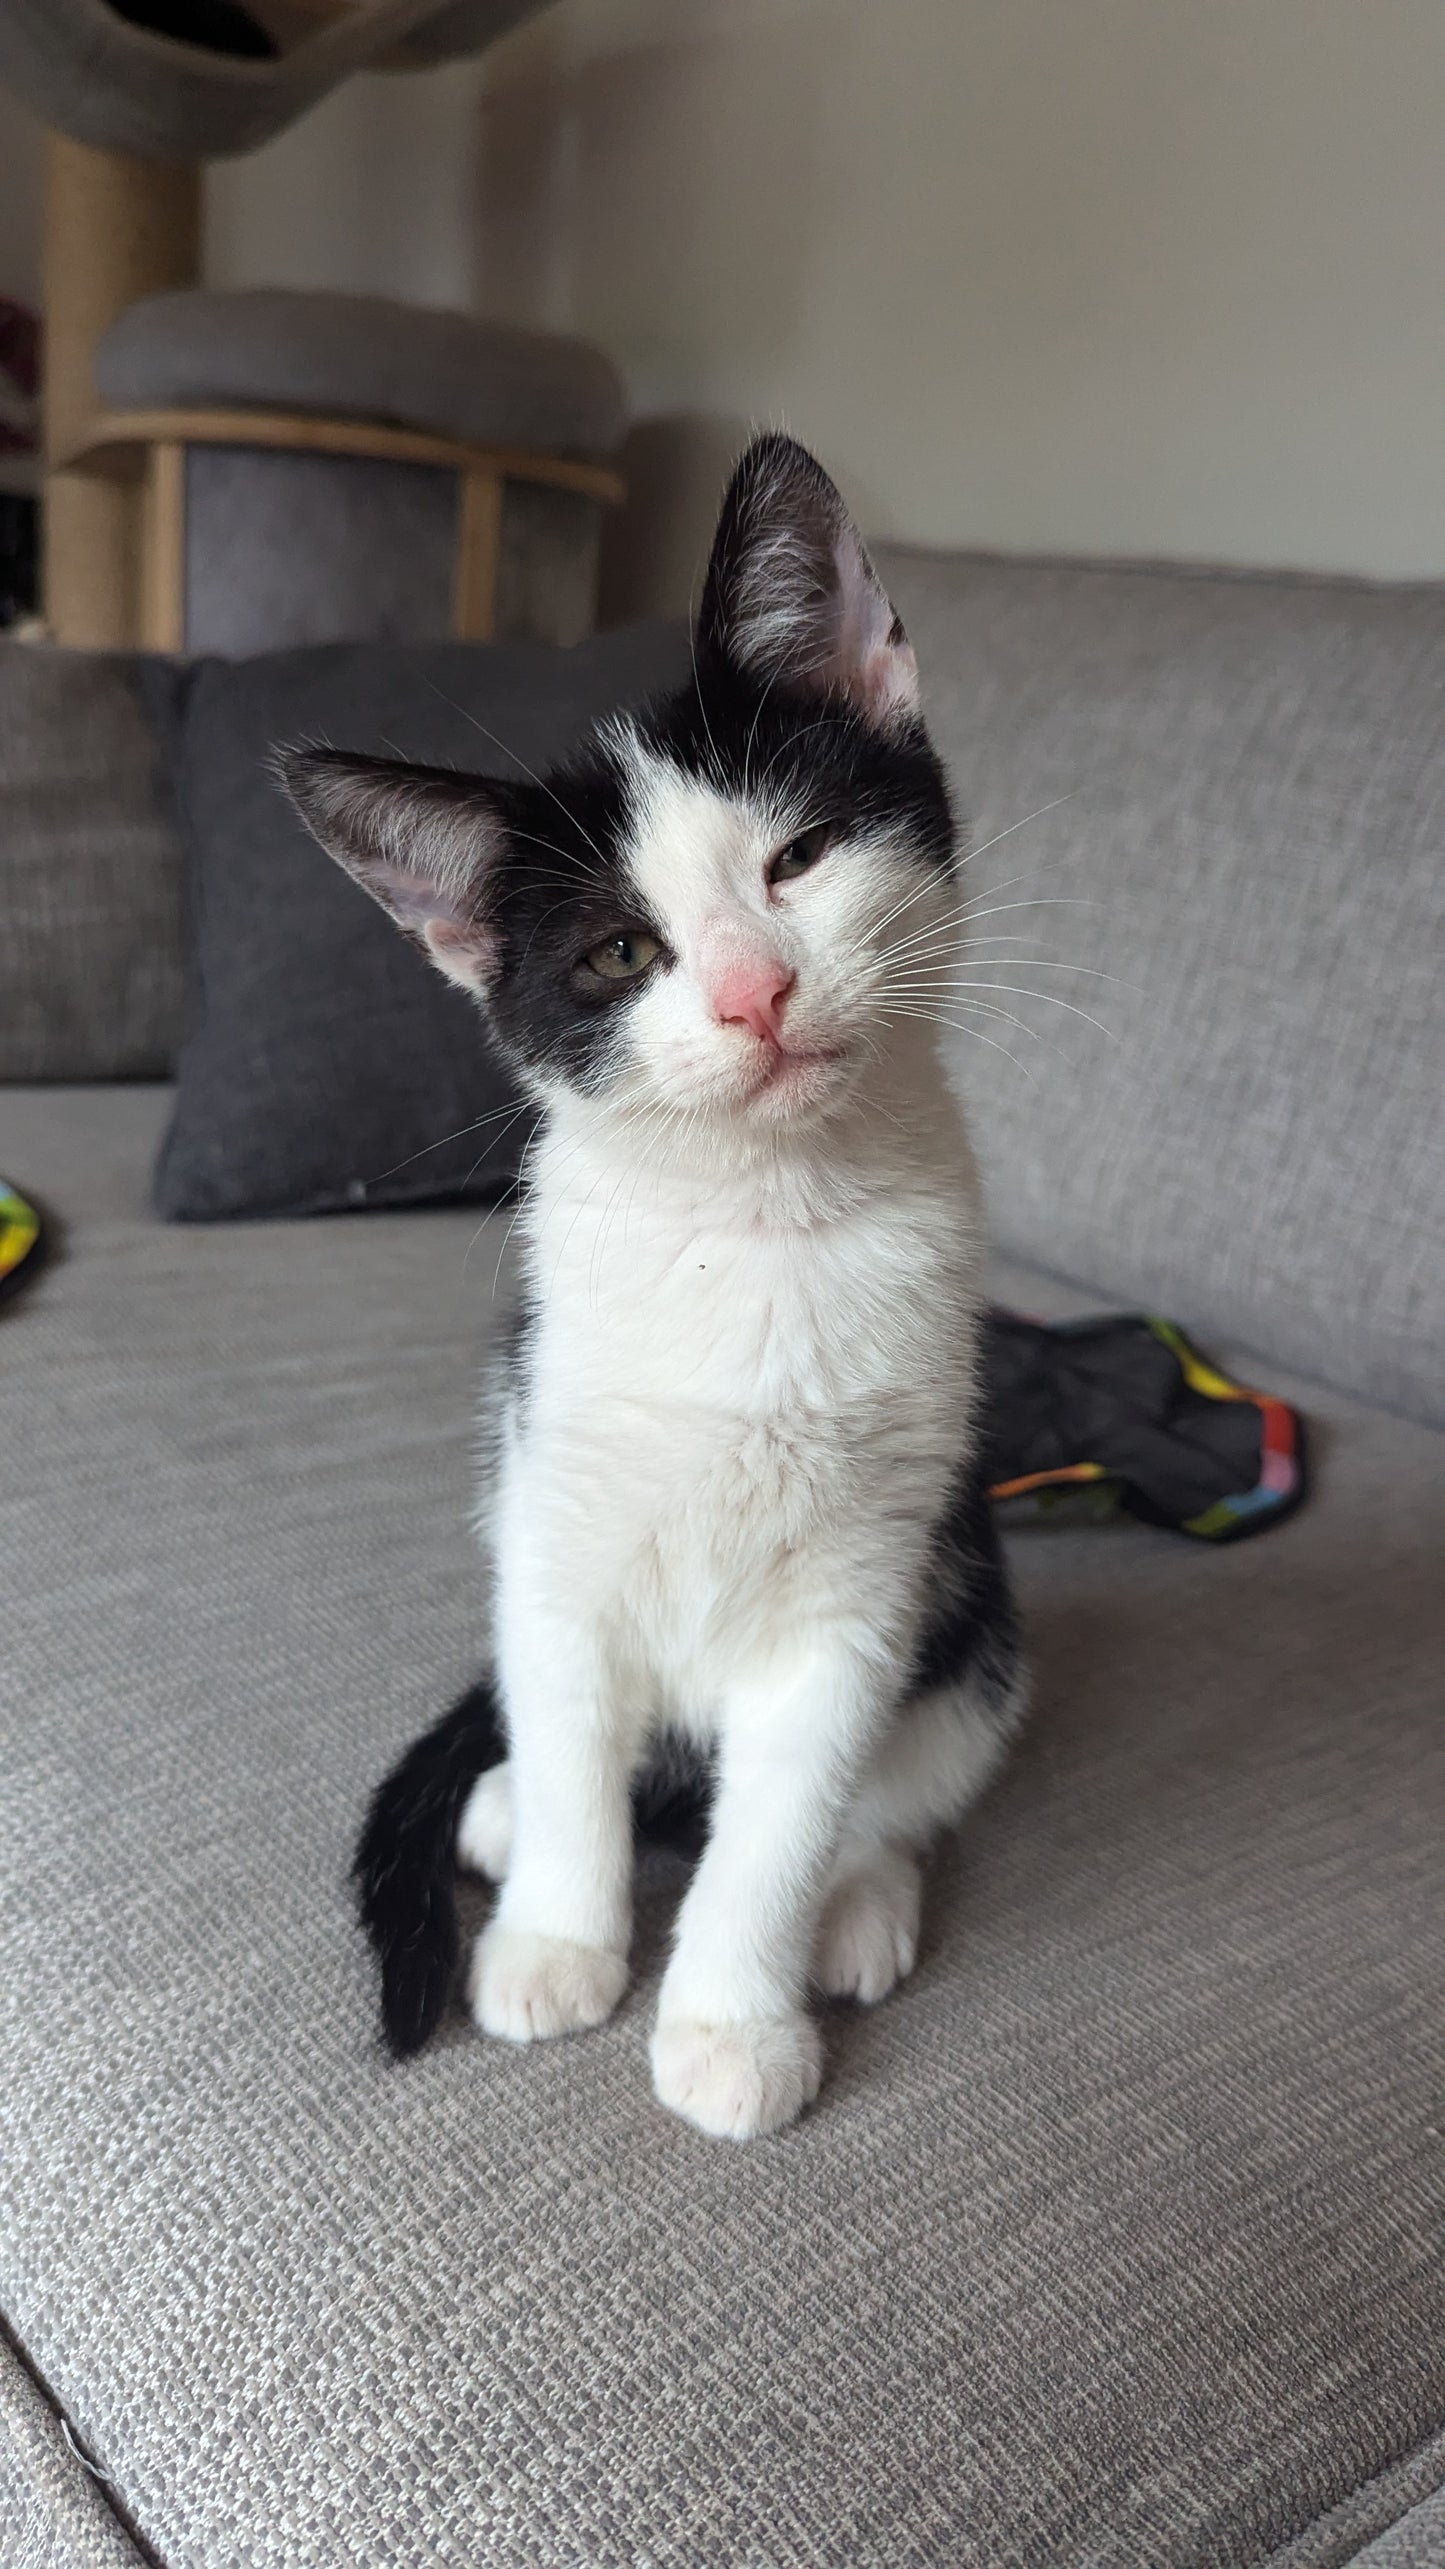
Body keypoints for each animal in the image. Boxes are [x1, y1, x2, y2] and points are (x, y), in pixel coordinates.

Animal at [284, 431, 1023, 2137]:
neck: (754, 1218)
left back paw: (863, 1902)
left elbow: (784, 1819)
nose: (755, 992)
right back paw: (501, 1813)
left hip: (978, 1609)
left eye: (801, 858)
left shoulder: (866, 1590)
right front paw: (558, 1935)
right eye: (622, 953)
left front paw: (732, 2025)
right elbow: (570, 1734)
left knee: (904, 1780)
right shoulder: (551, 1495)